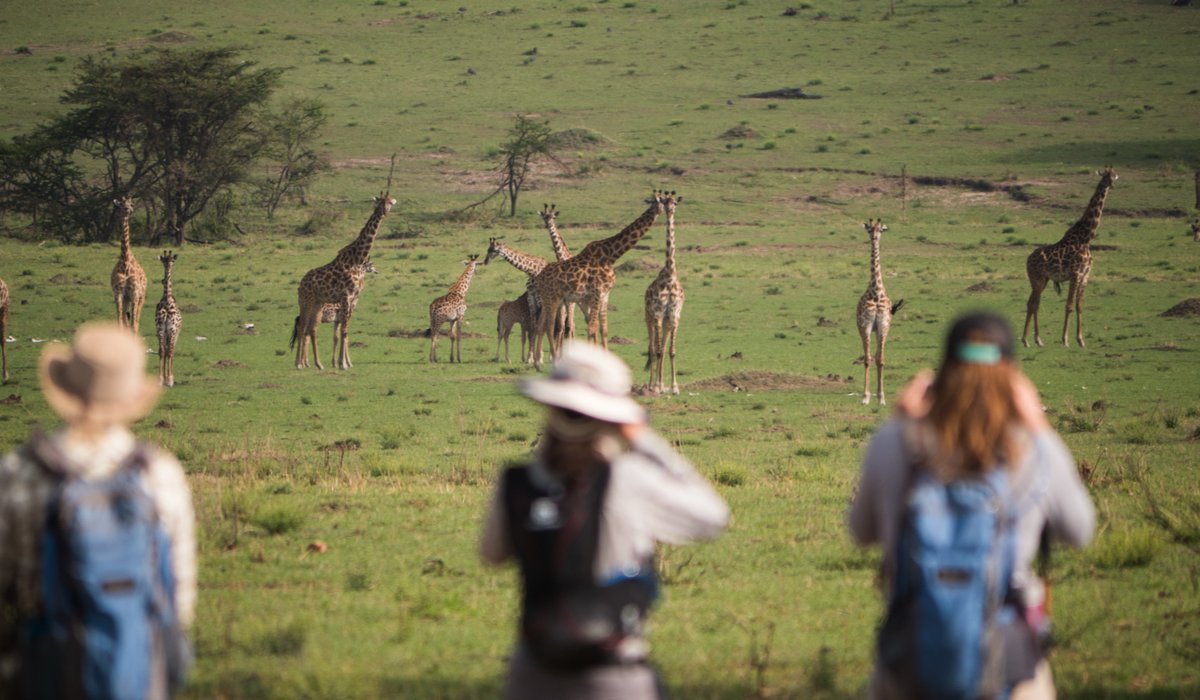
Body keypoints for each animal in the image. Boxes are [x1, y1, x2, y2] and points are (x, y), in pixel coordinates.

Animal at [110, 196, 147, 335]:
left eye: (131, 204)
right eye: (121, 204)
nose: (128, 210)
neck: (125, 260)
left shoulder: (135, 293)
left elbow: (133, 325)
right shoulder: (119, 293)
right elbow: (120, 324)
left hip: (141, 297)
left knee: (136, 323)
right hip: (127, 299)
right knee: (127, 322)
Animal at [295, 193, 394, 370]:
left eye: (390, 202)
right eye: (380, 203)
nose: (384, 212)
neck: (357, 260)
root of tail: (301, 284)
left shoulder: (352, 299)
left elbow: (343, 332)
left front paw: (342, 362)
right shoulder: (346, 297)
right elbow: (344, 331)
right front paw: (343, 364)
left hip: (317, 303)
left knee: (310, 328)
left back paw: (317, 364)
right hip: (306, 302)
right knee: (302, 327)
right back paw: (300, 364)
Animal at [528, 190, 668, 369]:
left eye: (663, 201)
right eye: (654, 202)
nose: (660, 210)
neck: (611, 256)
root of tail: (539, 278)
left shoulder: (604, 294)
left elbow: (603, 329)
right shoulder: (595, 292)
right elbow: (592, 327)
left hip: (553, 300)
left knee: (543, 325)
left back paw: (539, 362)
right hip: (552, 299)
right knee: (549, 325)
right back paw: (551, 361)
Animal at [856, 219, 904, 406]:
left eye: (882, 229)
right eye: (869, 229)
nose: (874, 237)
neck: (876, 292)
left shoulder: (883, 326)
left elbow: (881, 360)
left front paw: (882, 397)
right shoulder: (866, 326)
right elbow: (867, 359)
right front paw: (865, 397)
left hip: (878, 331)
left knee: (877, 356)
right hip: (866, 330)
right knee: (869, 356)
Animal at [1022, 166, 1118, 348]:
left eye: (1114, 174)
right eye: (1105, 176)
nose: (1112, 183)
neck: (1086, 238)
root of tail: (1027, 260)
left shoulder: (1085, 275)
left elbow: (1079, 306)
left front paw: (1080, 340)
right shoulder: (1075, 274)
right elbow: (1069, 305)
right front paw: (1065, 340)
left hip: (1043, 280)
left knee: (1032, 303)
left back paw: (1033, 340)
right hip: (1037, 279)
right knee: (1033, 303)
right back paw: (1030, 340)